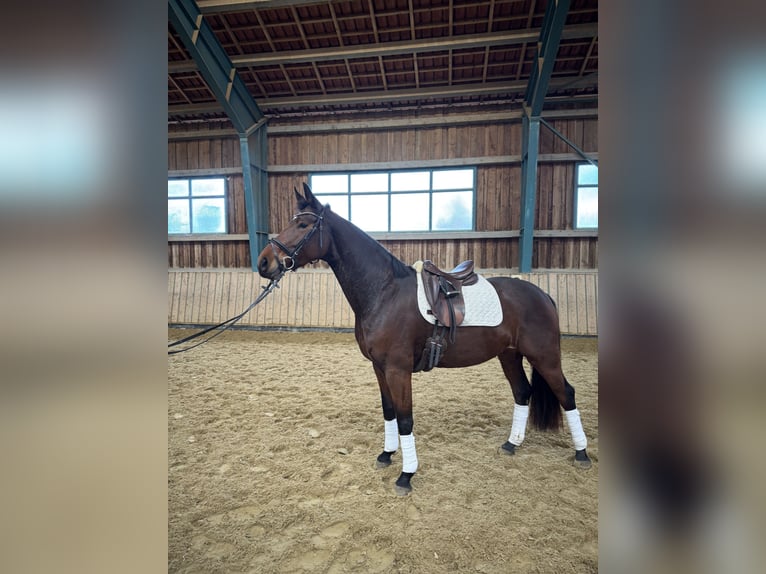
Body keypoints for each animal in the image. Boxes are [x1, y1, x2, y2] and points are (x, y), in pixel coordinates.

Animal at [258, 183, 592, 496]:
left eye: (303, 225)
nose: (264, 263)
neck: (385, 292)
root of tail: (541, 294)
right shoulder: (379, 368)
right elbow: (389, 412)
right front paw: (386, 454)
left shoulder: (398, 369)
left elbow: (406, 419)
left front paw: (406, 475)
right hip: (509, 354)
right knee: (522, 392)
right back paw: (512, 444)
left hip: (544, 356)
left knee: (566, 394)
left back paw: (582, 453)